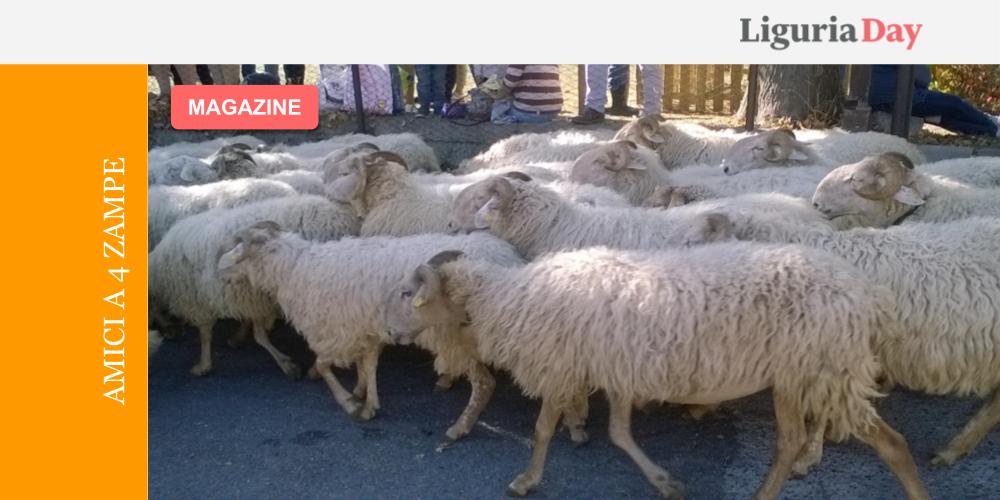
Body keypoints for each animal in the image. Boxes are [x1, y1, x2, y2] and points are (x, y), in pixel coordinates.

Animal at [148, 195, 360, 377]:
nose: (168, 333)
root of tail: (343, 219)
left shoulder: (199, 300)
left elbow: (208, 334)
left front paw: (204, 364)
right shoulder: (252, 298)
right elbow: (255, 330)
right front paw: (240, 337)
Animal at [215, 223, 523, 430]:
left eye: (240, 251)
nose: (220, 268)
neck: (294, 269)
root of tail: (505, 257)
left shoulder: (338, 331)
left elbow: (327, 366)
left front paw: (351, 403)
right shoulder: (367, 329)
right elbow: (368, 364)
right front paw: (365, 397)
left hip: (453, 335)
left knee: (483, 382)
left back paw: (459, 426)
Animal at [383, 245, 928, 499]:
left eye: (410, 293)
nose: (389, 331)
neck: (509, 297)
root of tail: (864, 293)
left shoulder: (562, 365)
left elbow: (541, 430)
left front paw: (526, 479)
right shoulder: (618, 369)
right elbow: (620, 434)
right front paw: (665, 483)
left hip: (818, 369)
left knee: (885, 443)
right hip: (804, 375)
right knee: (797, 440)